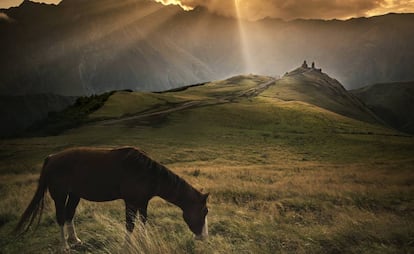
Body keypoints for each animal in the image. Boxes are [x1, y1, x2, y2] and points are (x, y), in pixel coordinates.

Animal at [14, 147, 209, 252]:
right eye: (204, 211)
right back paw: (65, 246)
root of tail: (52, 157)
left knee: (69, 214)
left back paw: (75, 240)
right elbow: (130, 225)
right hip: (59, 195)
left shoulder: (143, 202)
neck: (145, 172)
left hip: (74, 195)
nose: (204, 237)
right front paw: (127, 247)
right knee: (61, 217)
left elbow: (143, 222)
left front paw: (144, 241)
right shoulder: (130, 202)